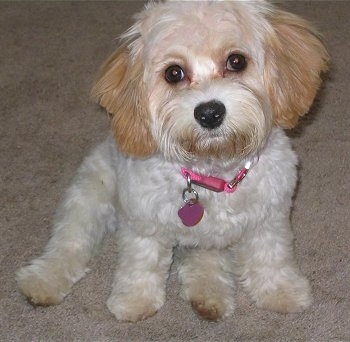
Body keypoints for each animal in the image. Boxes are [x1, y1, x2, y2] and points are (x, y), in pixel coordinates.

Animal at [16, 0, 328, 322]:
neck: (211, 173)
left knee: (204, 257)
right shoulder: (143, 221)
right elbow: (141, 261)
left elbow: (271, 255)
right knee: (69, 242)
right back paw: (43, 280)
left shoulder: (270, 217)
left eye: (236, 61)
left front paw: (281, 291)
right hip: (89, 197)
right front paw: (135, 300)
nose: (209, 113)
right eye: (174, 73)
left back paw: (208, 295)